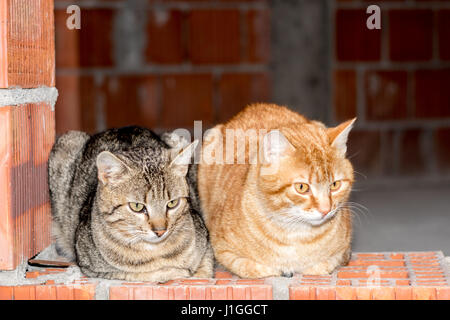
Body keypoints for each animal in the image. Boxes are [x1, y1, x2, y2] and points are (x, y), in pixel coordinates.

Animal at [47, 126, 214, 282]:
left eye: (172, 203)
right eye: (137, 207)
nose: (160, 231)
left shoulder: (206, 244)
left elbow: (205, 267)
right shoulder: (95, 269)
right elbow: (144, 273)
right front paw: (174, 271)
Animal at [197, 103, 356, 278]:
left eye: (335, 185)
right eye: (302, 187)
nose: (325, 210)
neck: (296, 235)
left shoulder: (343, 252)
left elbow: (322, 265)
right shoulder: (222, 250)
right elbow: (254, 268)